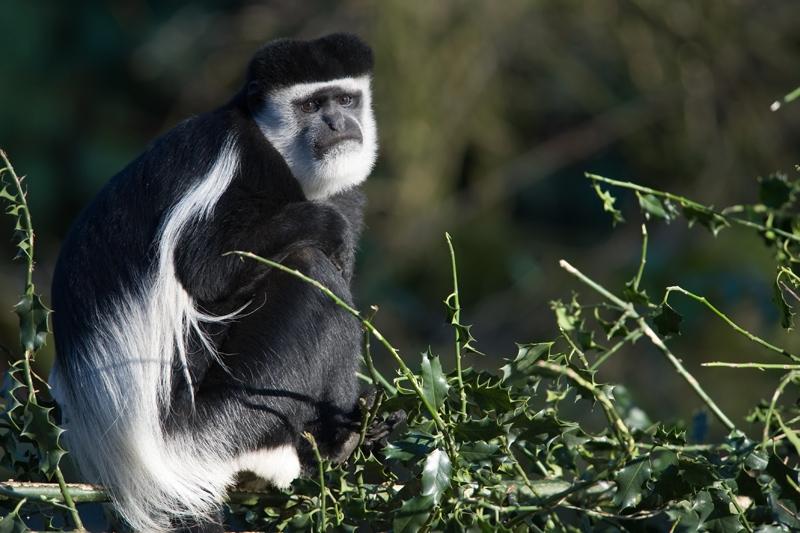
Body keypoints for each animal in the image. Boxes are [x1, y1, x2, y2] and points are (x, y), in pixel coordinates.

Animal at [50, 34, 382, 532]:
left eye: (345, 99)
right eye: (310, 105)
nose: (338, 123)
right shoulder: (237, 161)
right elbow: (206, 267)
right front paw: (328, 227)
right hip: (221, 420)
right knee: (309, 272)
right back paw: (327, 445)